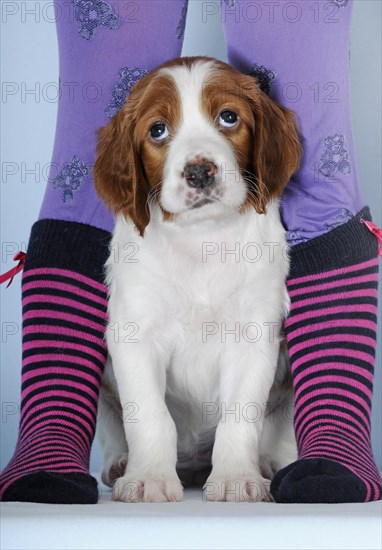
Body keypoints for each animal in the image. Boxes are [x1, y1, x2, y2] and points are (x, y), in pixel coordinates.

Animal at [93, 56, 302, 504]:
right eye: (157, 129)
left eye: (229, 117)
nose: (200, 172)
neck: (202, 239)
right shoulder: (135, 334)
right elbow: (149, 414)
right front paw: (148, 479)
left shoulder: (253, 335)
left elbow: (240, 415)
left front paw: (236, 479)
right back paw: (121, 463)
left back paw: (269, 464)